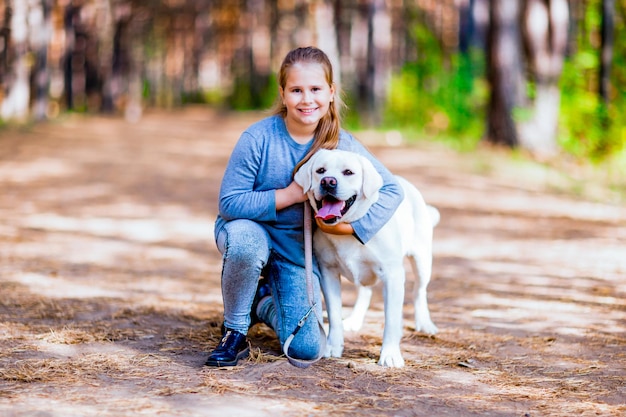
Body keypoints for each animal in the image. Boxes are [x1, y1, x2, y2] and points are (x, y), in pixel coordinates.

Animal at [294, 148, 436, 366]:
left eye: (348, 172)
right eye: (320, 170)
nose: (328, 182)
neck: (347, 227)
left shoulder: (393, 275)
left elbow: (391, 319)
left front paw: (390, 354)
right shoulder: (328, 272)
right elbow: (334, 314)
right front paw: (333, 346)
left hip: (422, 261)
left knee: (419, 291)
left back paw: (425, 323)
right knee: (365, 291)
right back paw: (354, 320)